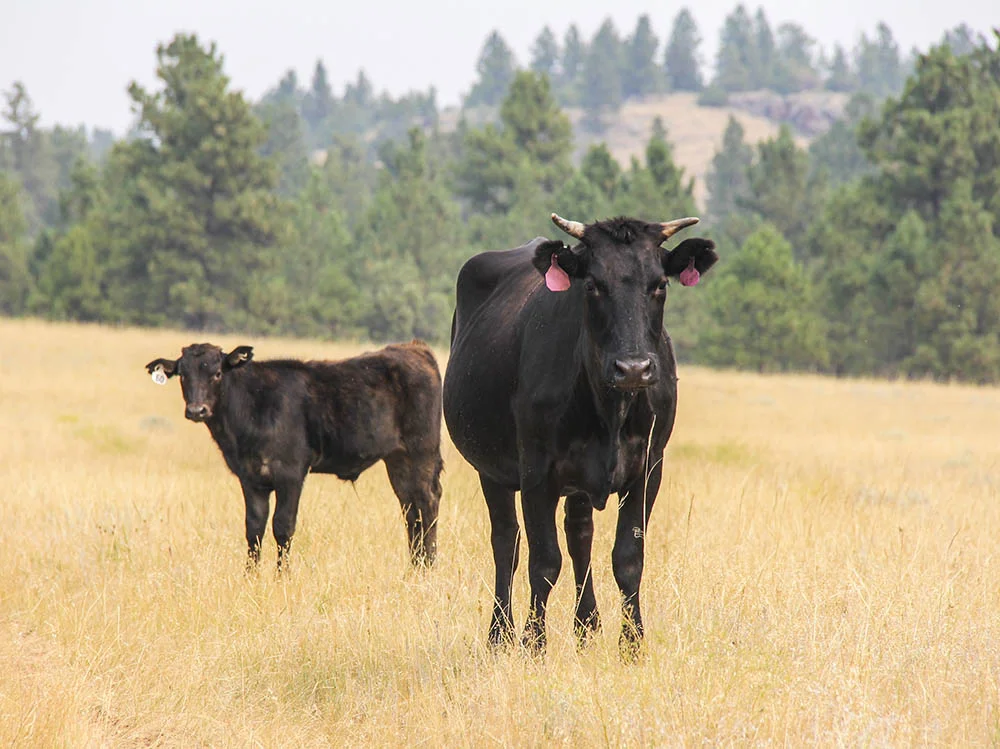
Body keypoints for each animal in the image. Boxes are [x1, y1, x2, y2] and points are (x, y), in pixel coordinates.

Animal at [145, 340, 444, 570]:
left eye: (217, 373)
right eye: (183, 374)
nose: (197, 410)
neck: (253, 406)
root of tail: (414, 348)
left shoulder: (290, 474)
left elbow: (283, 527)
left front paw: (282, 576)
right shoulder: (250, 478)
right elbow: (254, 529)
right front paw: (251, 577)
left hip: (421, 452)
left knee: (426, 503)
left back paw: (427, 567)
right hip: (398, 459)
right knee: (411, 509)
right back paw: (415, 566)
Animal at [443, 213, 717, 659]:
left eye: (660, 284)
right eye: (592, 285)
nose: (633, 368)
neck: (609, 410)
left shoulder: (648, 469)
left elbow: (628, 558)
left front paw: (632, 644)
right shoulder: (536, 471)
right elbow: (543, 560)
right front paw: (534, 643)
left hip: (578, 483)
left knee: (579, 536)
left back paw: (587, 627)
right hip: (492, 470)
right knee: (506, 542)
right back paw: (500, 633)